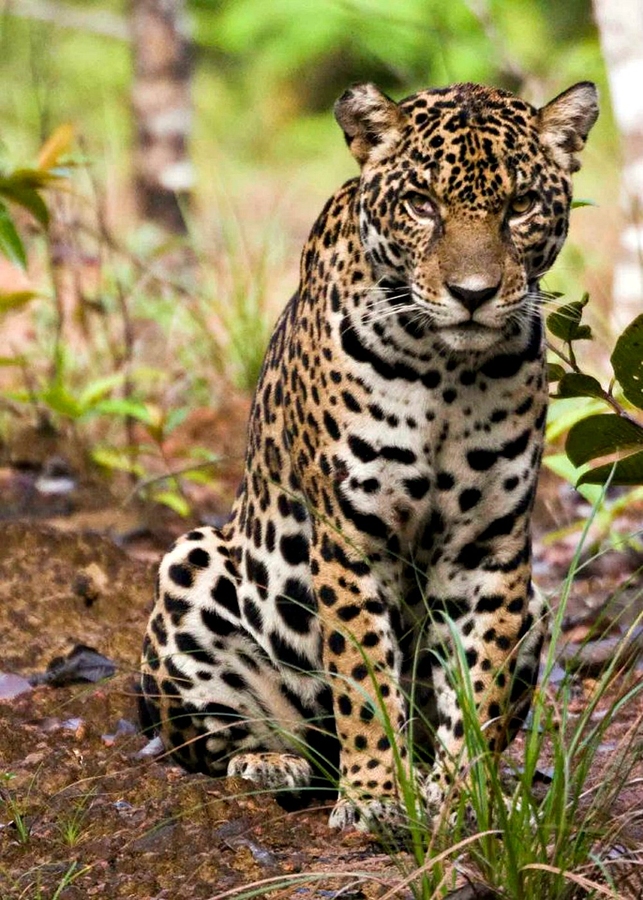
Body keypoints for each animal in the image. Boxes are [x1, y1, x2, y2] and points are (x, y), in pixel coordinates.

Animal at [140, 79, 598, 833]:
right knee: (213, 737)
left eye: (521, 206)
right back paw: (274, 760)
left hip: (534, 600)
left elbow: (478, 685)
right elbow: (364, 680)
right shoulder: (353, 537)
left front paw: (467, 796)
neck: (448, 370)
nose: (472, 296)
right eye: (421, 205)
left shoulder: (490, 549)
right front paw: (375, 795)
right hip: (195, 562)